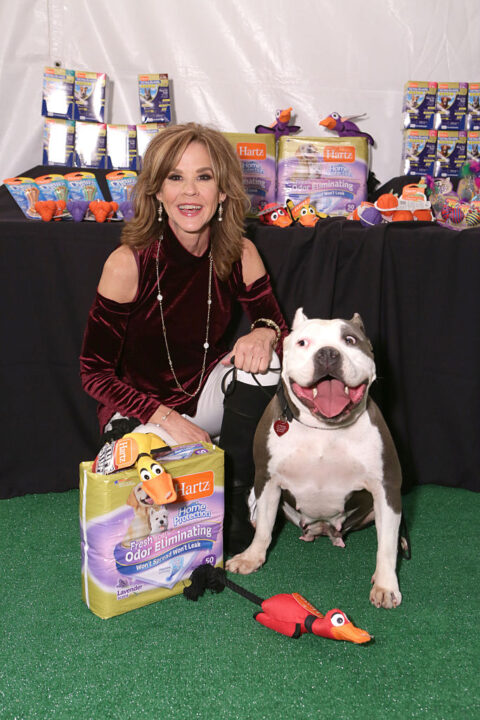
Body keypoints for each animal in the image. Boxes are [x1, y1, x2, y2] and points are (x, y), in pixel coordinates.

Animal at [227, 308, 406, 608]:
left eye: (349, 340)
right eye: (303, 343)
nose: (328, 354)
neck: (324, 429)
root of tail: (324, 530)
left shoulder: (386, 488)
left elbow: (386, 545)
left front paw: (385, 584)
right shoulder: (267, 480)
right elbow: (264, 527)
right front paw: (252, 557)